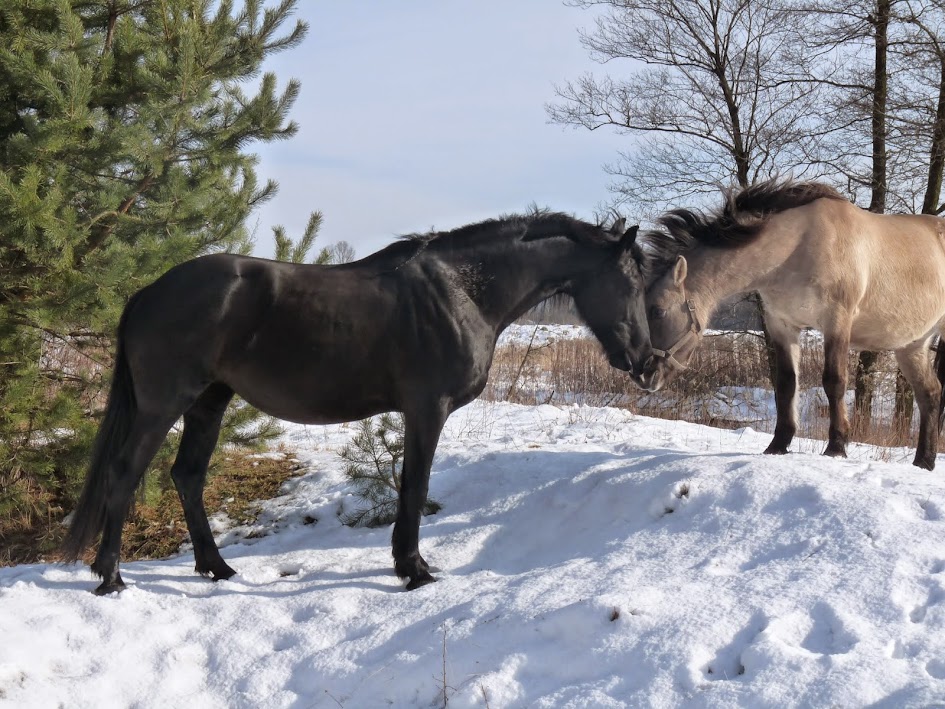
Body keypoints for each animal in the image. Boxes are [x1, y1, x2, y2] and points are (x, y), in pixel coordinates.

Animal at [62, 210, 656, 592]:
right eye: (630, 281)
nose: (647, 361)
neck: (461, 291)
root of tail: (148, 293)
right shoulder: (427, 409)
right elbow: (414, 486)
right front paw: (413, 569)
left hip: (209, 401)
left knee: (187, 475)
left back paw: (217, 567)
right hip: (163, 404)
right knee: (125, 473)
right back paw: (110, 577)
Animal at [640, 181, 944, 470]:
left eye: (657, 310)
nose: (644, 375)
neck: (797, 247)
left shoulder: (836, 321)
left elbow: (834, 381)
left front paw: (836, 446)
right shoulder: (781, 325)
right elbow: (786, 383)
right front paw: (778, 445)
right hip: (912, 346)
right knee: (930, 393)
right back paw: (924, 462)